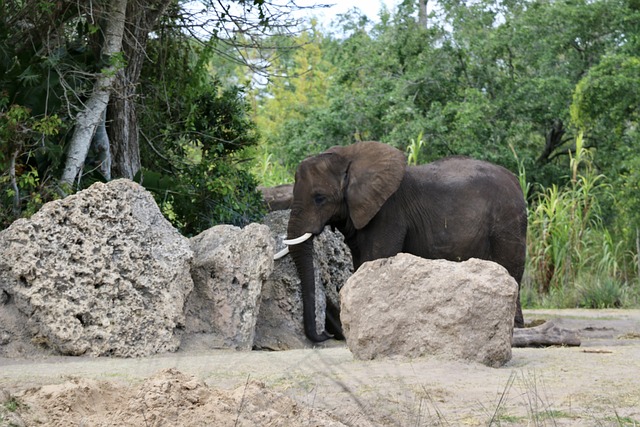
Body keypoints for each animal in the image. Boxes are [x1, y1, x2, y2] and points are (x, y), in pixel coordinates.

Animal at [278, 142, 528, 342]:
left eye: (320, 198)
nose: (326, 334)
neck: (350, 157)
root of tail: (516, 181)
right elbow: (361, 264)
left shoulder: (389, 212)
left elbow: (375, 259)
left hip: (507, 220)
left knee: (511, 267)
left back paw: (514, 327)